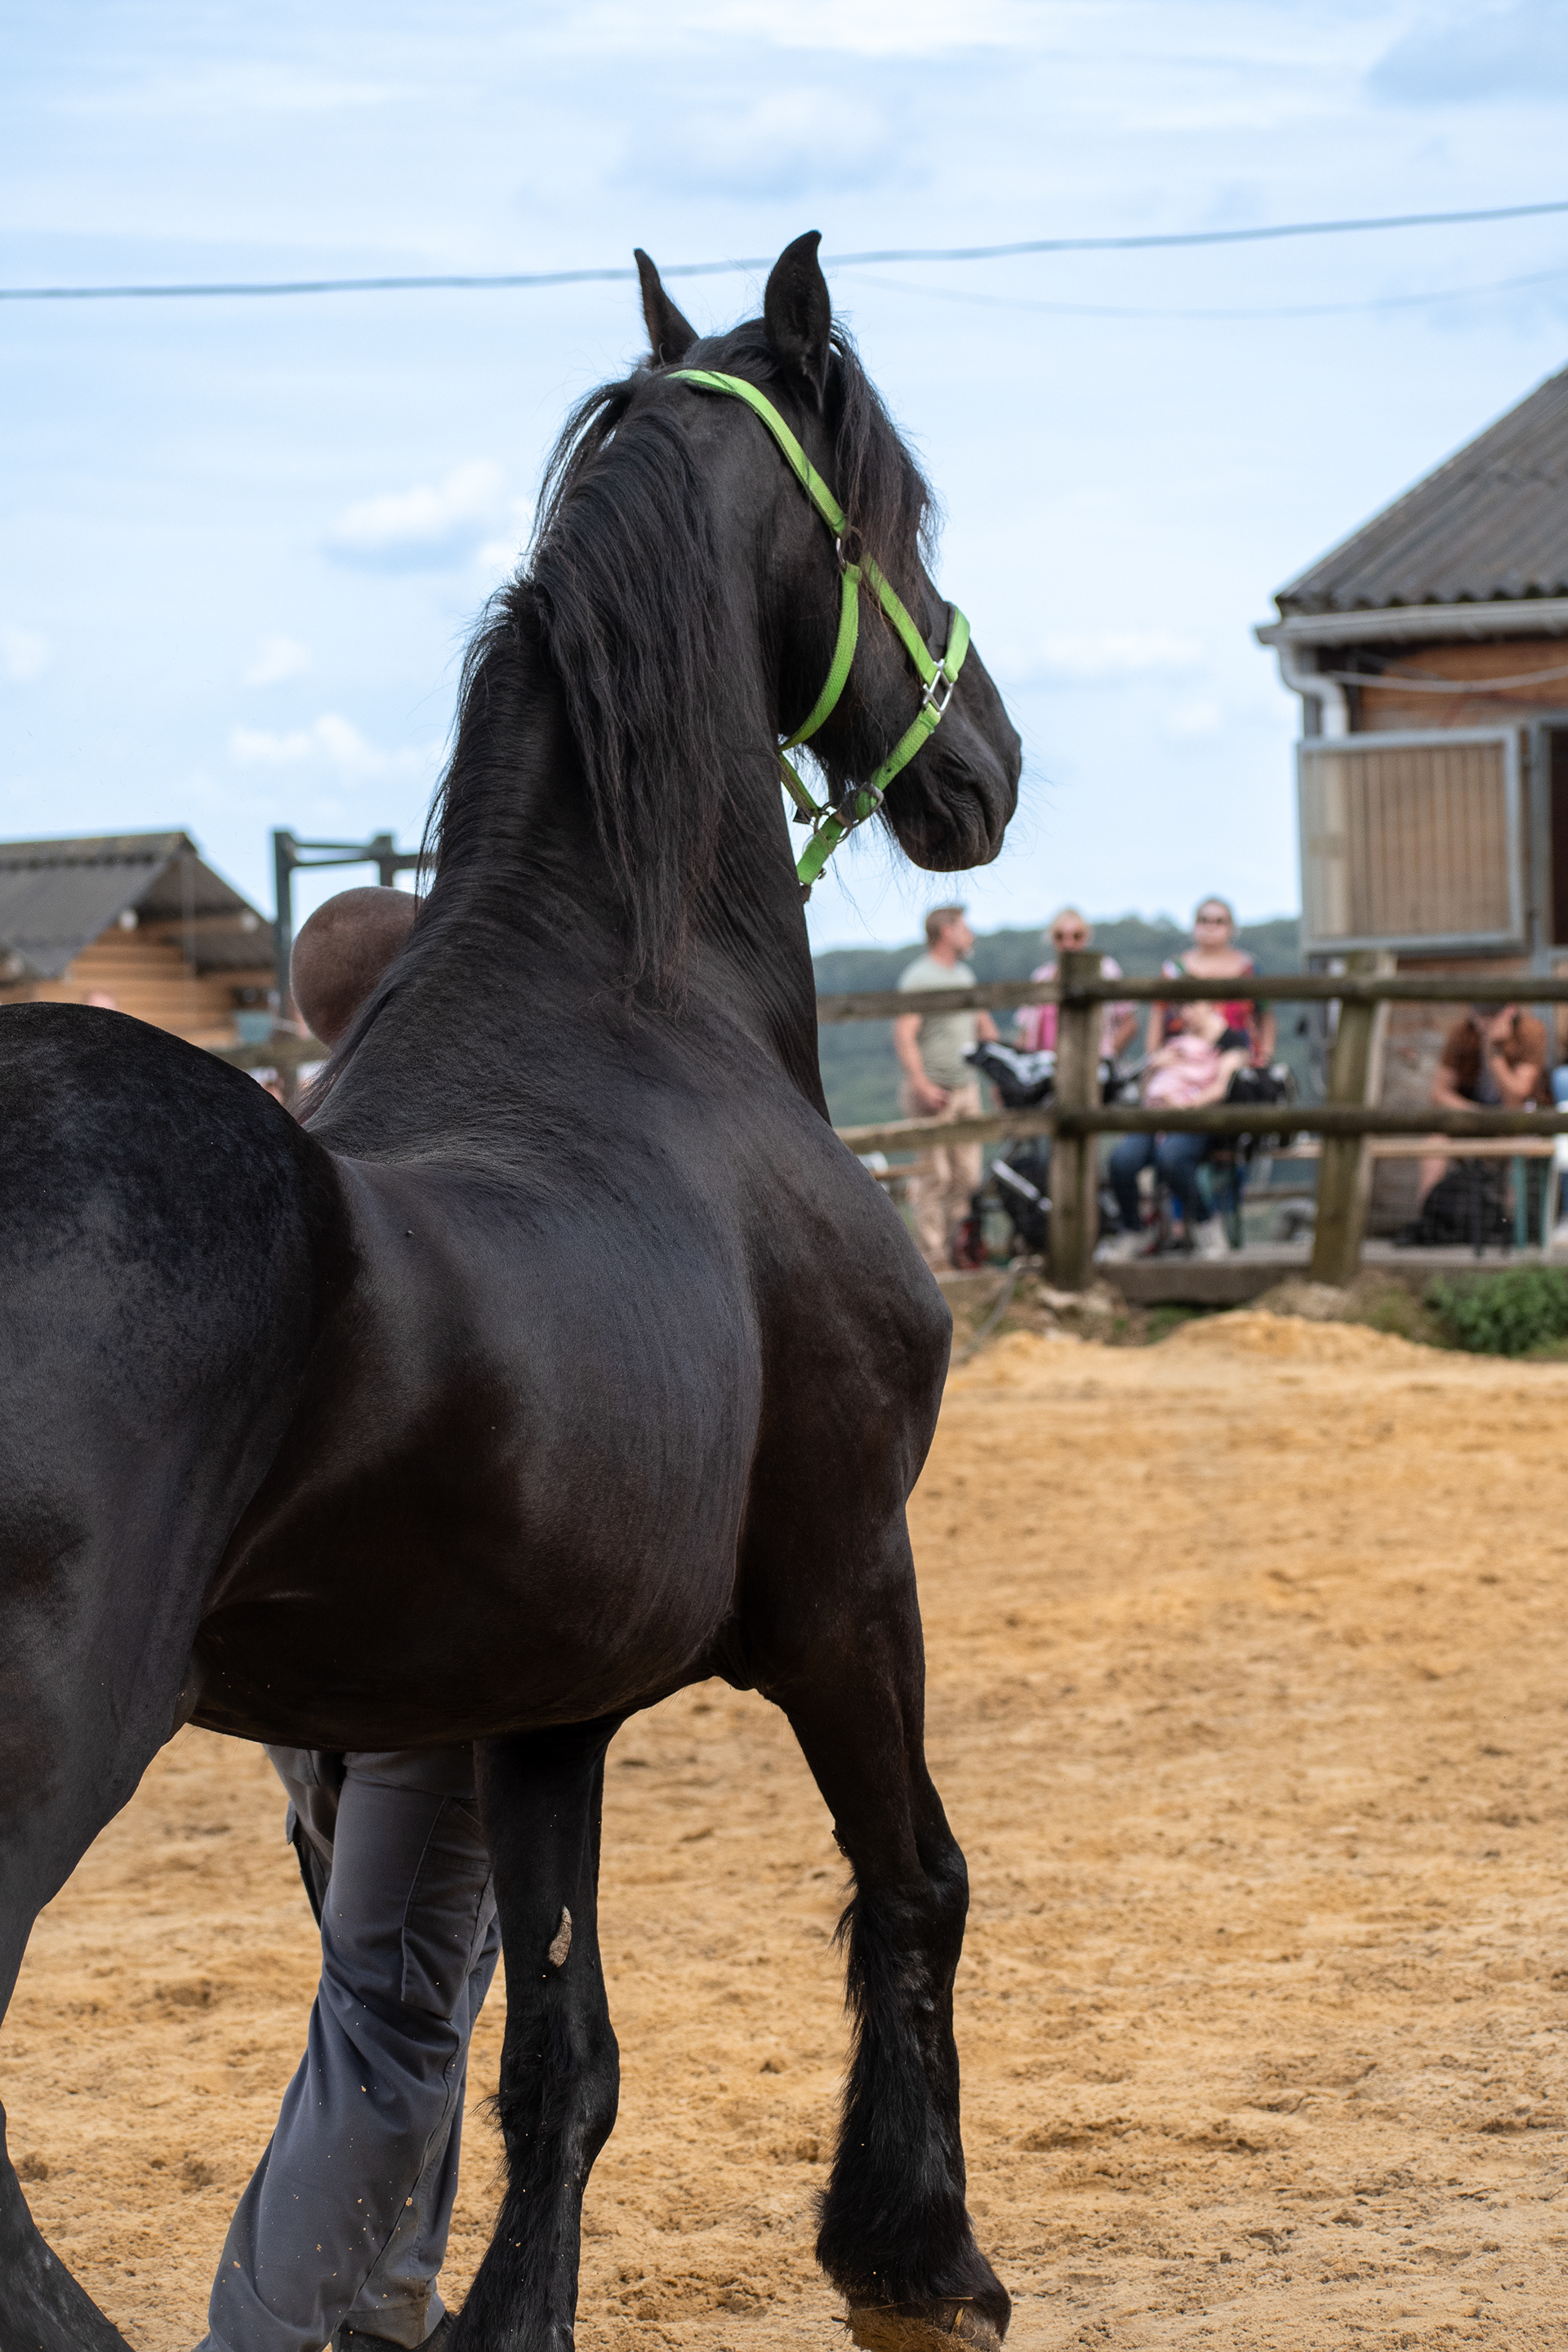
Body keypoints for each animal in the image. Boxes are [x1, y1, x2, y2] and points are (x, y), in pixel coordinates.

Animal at [0, 231, 1021, 2352]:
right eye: (905, 514)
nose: (987, 767)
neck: (638, 1001)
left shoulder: (552, 1691)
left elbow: (559, 2058)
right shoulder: (849, 1586)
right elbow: (919, 1884)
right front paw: (916, 2258)